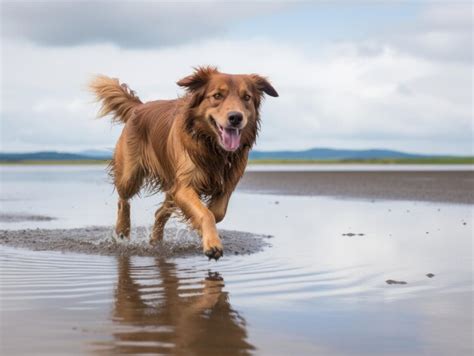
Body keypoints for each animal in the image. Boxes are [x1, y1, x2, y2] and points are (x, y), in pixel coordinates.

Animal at [89, 67, 278, 260]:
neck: (213, 147)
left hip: (171, 184)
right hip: (130, 174)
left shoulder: (226, 185)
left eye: (246, 97)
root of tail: (139, 106)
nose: (236, 117)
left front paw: (204, 232)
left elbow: (215, 213)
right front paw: (212, 243)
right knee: (123, 199)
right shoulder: (184, 185)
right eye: (217, 95)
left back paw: (156, 240)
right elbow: (206, 213)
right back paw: (123, 229)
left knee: (160, 211)